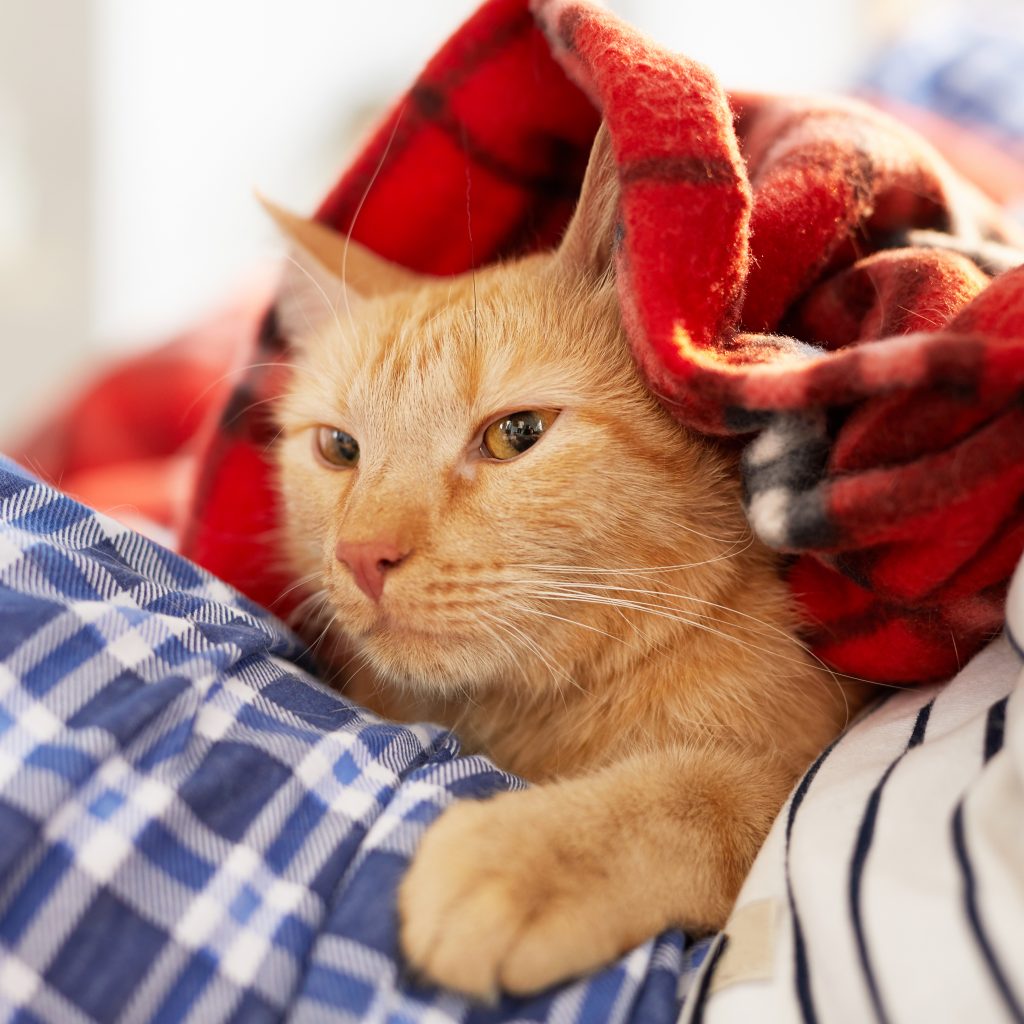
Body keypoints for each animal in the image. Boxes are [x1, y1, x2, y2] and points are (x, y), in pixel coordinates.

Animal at [270, 128, 864, 999]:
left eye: (515, 433)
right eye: (339, 449)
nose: (363, 554)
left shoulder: (803, 757)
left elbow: (713, 792)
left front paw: (530, 853)